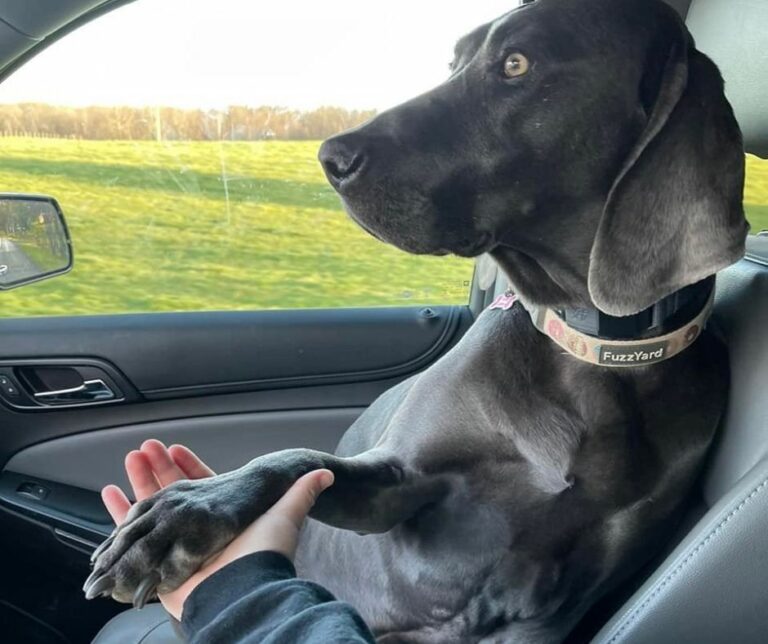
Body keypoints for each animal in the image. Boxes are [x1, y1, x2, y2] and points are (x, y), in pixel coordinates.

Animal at [85, 0, 752, 640]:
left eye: (517, 63)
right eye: (453, 62)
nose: (330, 157)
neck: (589, 352)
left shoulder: (552, 610)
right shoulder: (399, 484)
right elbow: (297, 458)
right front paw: (184, 512)